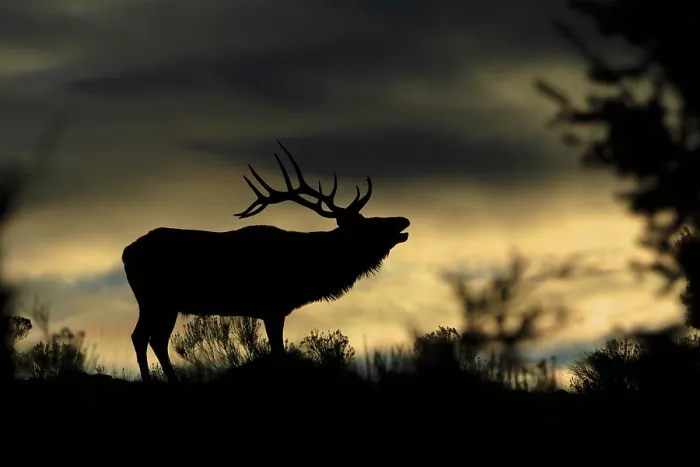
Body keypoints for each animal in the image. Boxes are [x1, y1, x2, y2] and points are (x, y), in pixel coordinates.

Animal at [122, 141, 410, 382]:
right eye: (366, 226)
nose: (403, 220)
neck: (309, 272)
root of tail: (125, 253)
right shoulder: (273, 306)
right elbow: (278, 353)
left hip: (163, 303)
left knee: (153, 339)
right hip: (156, 298)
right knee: (143, 337)